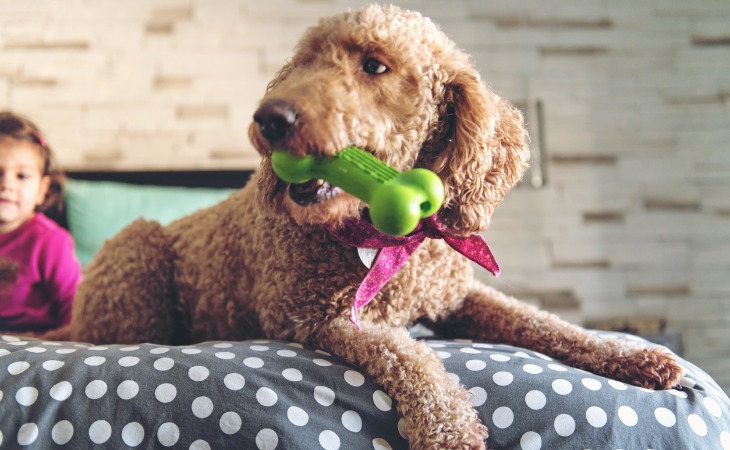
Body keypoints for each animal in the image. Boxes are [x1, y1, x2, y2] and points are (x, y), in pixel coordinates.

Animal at [32, 5, 684, 448]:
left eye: (374, 65)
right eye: (304, 65)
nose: (268, 118)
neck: (387, 236)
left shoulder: (458, 296)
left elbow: (543, 322)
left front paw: (632, 355)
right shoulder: (320, 316)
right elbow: (411, 356)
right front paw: (449, 426)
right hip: (137, 252)